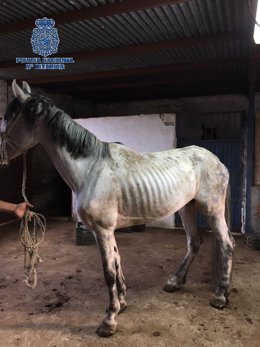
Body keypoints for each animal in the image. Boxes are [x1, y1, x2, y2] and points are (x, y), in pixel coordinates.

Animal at [0, 81, 236, 338]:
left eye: (8, 116)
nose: (1, 157)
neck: (91, 169)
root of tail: (218, 161)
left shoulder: (103, 229)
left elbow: (108, 271)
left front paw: (109, 320)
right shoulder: (105, 230)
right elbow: (117, 260)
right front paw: (121, 303)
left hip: (213, 210)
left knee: (226, 244)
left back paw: (220, 296)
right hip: (186, 209)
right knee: (194, 242)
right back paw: (175, 282)